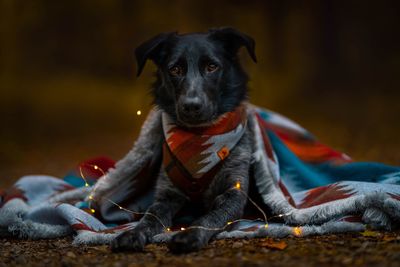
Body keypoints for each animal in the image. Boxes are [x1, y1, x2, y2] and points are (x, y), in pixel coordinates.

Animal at [106, 28, 256, 254]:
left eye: (212, 67)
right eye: (175, 69)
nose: (191, 106)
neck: (199, 136)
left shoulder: (233, 193)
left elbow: (210, 217)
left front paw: (190, 234)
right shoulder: (167, 194)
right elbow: (151, 216)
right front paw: (133, 233)